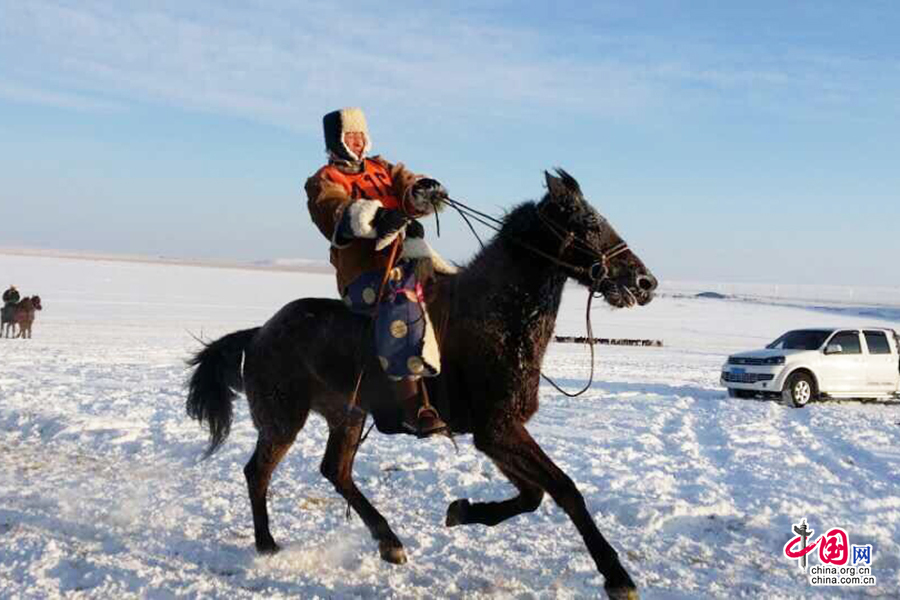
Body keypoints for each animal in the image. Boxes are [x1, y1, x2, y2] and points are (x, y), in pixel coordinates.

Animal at [186, 170, 656, 600]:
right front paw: (618, 577)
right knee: (258, 472)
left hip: (347, 415)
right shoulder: (498, 429)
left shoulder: (495, 434)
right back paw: (268, 544)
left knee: (335, 470)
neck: (496, 318)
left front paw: (462, 511)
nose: (644, 282)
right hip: (284, 419)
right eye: (589, 221)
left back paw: (389, 543)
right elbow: (563, 489)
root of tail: (258, 333)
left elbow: (533, 494)